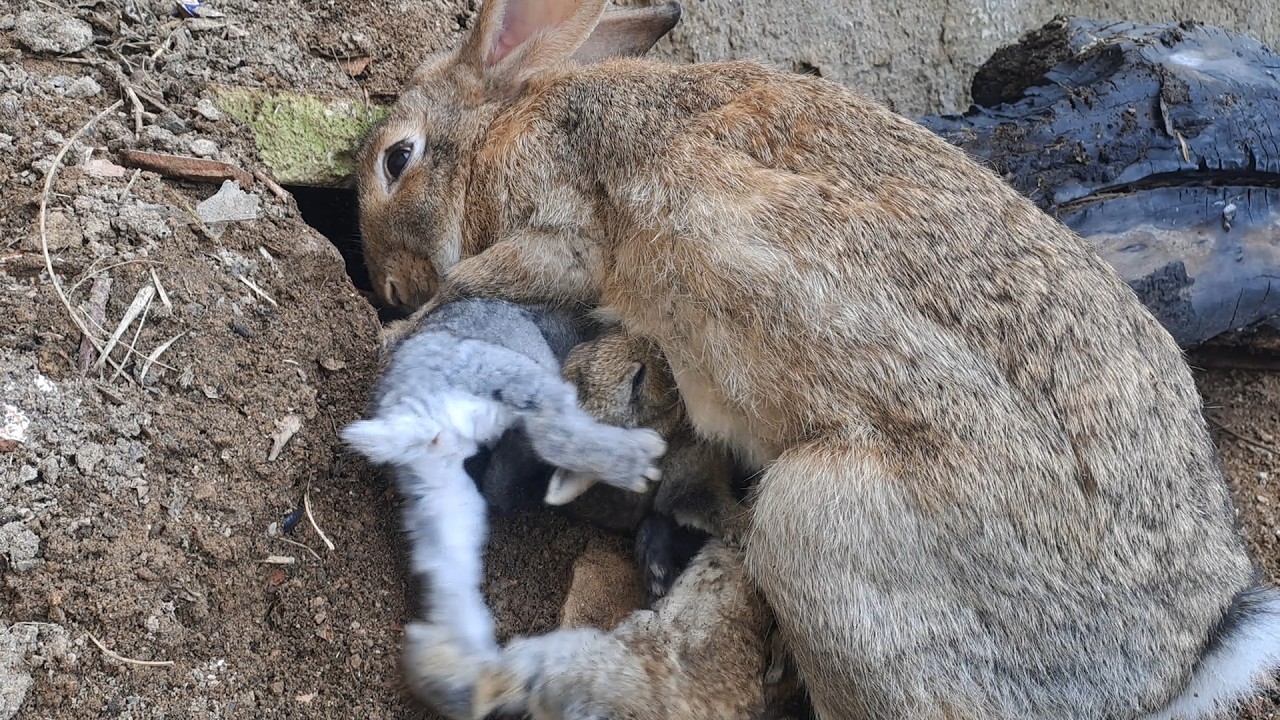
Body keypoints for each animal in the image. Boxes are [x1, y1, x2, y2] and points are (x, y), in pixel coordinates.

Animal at [339, 297, 666, 695]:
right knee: (552, 434)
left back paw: (469, 653)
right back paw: (639, 459)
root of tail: (416, 412)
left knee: (448, 572)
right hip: (514, 376)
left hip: (442, 493)